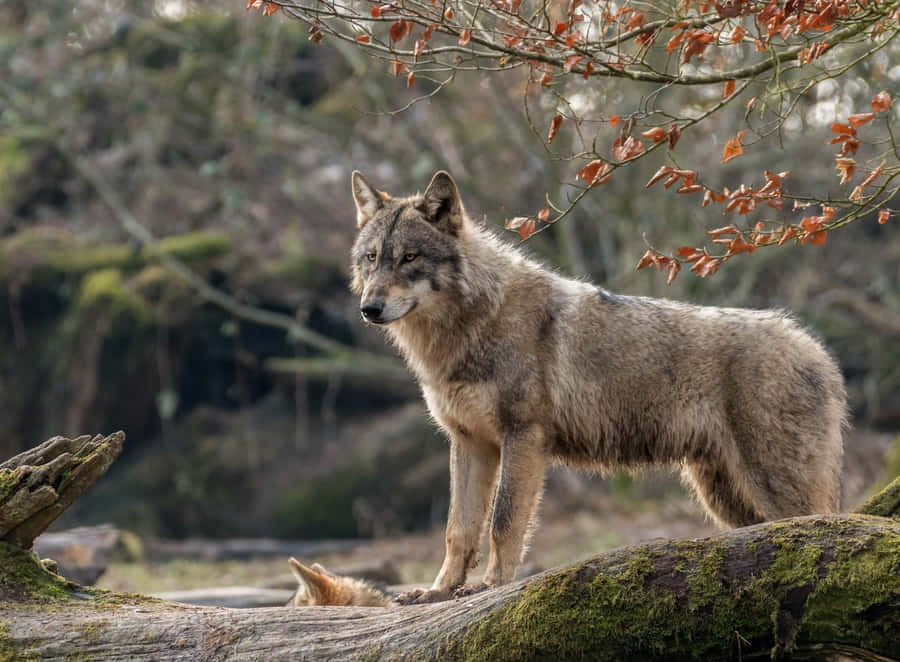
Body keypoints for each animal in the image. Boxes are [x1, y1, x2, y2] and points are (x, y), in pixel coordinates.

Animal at [349, 170, 846, 604]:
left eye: (410, 257)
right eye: (372, 258)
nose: (368, 308)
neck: (469, 326)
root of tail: (817, 350)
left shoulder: (523, 437)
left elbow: (503, 522)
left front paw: (489, 586)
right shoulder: (470, 442)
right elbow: (459, 529)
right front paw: (438, 592)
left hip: (771, 489)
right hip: (725, 498)